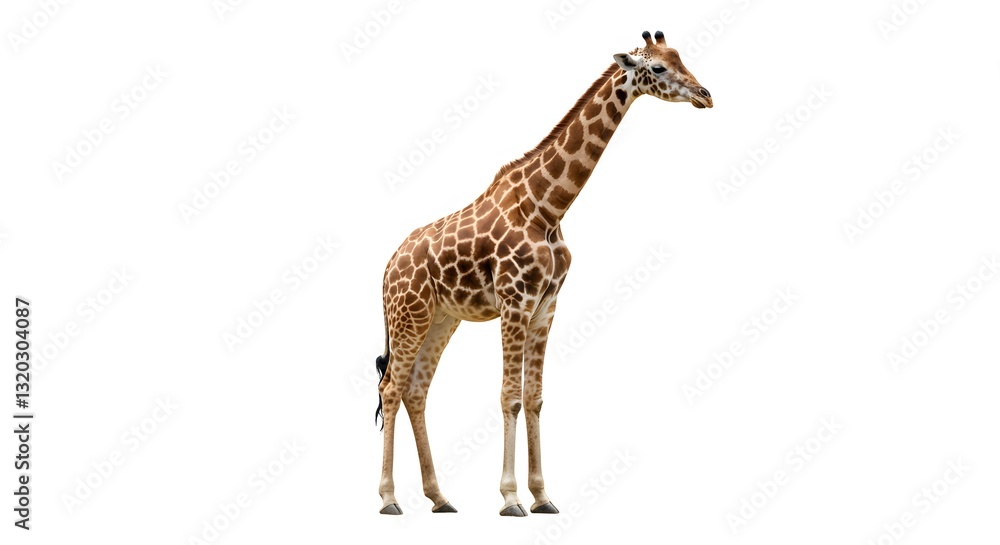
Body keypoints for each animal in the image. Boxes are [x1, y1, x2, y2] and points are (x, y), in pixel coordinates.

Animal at [374, 30, 711, 516]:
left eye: (681, 58)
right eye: (659, 67)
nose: (706, 95)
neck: (547, 208)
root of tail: (387, 266)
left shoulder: (546, 308)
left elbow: (534, 399)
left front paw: (542, 495)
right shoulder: (516, 303)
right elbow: (510, 397)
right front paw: (510, 497)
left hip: (442, 319)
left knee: (415, 391)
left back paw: (439, 497)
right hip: (409, 315)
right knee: (390, 389)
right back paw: (388, 498)